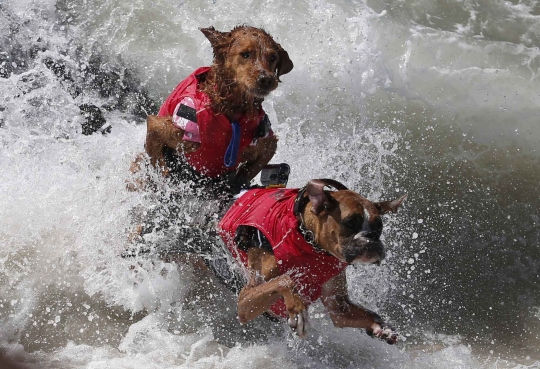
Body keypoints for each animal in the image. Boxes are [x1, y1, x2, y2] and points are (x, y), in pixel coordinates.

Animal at [215, 178, 404, 342]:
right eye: (350, 222)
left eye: (379, 227)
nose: (371, 238)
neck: (307, 239)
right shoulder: (245, 300)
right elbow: (285, 280)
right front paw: (298, 310)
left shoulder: (339, 308)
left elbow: (362, 314)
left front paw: (382, 327)